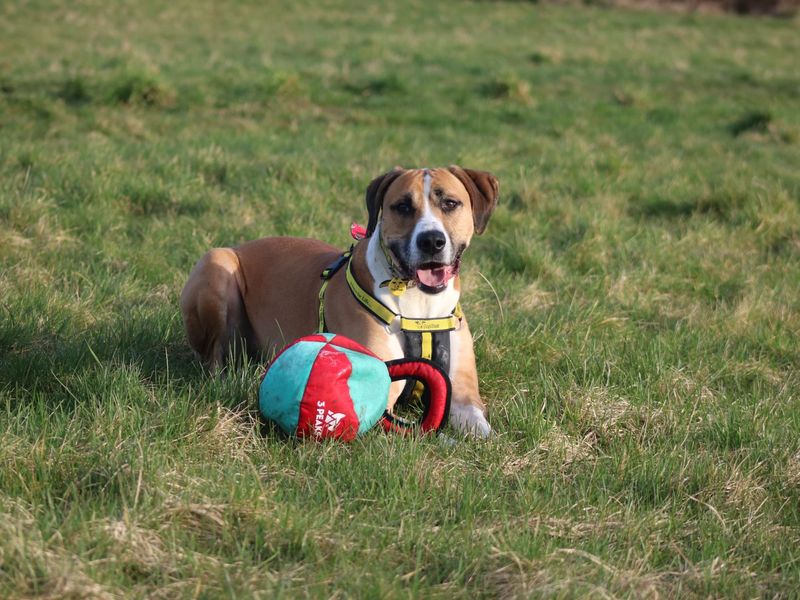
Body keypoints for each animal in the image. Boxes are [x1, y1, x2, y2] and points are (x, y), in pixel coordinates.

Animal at [180, 165, 500, 436]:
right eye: (403, 206)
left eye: (450, 203)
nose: (431, 240)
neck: (420, 308)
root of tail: (240, 245)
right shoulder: (383, 402)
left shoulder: (464, 396)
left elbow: (481, 431)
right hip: (217, 264)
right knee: (212, 355)